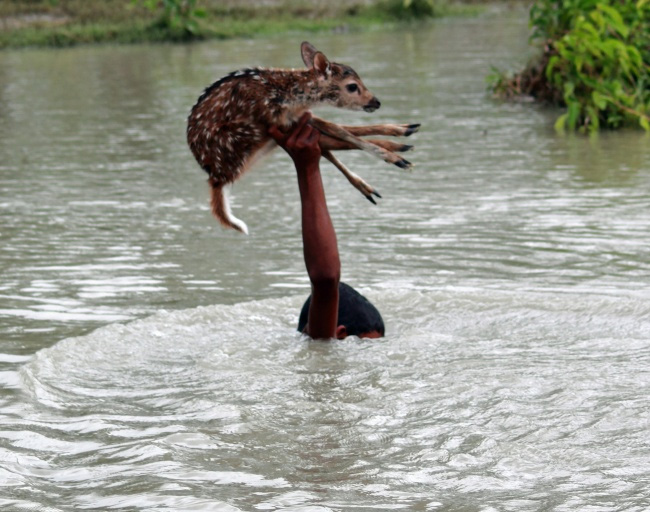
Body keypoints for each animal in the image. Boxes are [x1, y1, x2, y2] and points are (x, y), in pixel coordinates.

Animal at [186, 42, 420, 234]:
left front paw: (399, 135)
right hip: (247, 136)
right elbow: (339, 131)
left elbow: (338, 129)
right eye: (353, 86)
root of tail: (216, 178)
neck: (291, 96)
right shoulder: (277, 119)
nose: (376, 102)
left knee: (327, 142)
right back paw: (396, 155)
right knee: (329, 141)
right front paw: (395, 156)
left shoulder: (296, 117)